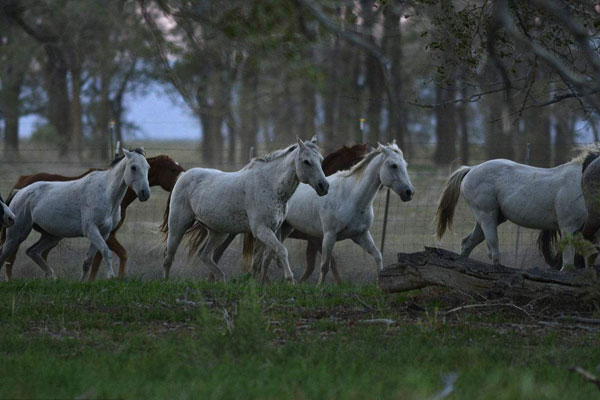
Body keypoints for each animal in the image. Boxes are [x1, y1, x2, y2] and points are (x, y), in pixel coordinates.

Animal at [1, 155, 185, 280]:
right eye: (173, 169)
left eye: (147, 168)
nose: (145, 193)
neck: (108, 193)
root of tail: (20, 188)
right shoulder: (102, 234)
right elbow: (111, 255)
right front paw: (112, 277)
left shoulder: (105, 234)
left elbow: (96, 260)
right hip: (18, 233)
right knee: (10, 256)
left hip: (51, 236)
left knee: (33, 252)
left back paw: (51, 277)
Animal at [159, 138, 328, 282]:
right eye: (306, 162)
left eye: (320, 160)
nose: (324, 186)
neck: (270, 185)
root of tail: (183, 175)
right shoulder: (261, 229)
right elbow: (281, 250)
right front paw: (289, 279)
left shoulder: (271, 230)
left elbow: (258, 262)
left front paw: (254, 285)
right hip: (178, 227)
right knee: (168, 256)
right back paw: (166, 282)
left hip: (218, 232)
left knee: (204, 255)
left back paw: (222, 279)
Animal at [253, 142, 412, 286]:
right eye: (393, 165)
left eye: (405, 165)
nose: (409, 192)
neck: (351, 196)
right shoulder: (328, 236)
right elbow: (325, 265)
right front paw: (319, 288)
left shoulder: (361, 235)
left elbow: (378, 255)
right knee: (263, 257)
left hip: (284, 229)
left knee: (266, 257)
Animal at [434, 148, 592, 270]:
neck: (580, 181)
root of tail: (471, 169)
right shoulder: (568, 226)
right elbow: (569, 262)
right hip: (487, 215)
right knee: (492, 247)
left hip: (490, 218)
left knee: (467, 243)